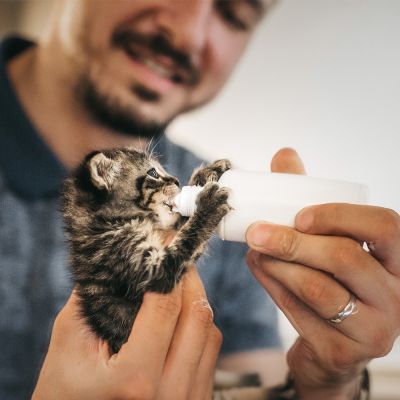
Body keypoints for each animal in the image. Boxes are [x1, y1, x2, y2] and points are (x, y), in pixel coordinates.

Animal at [62, 148, 231, 354]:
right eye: (153, 173)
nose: (176, 180)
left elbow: (181, 221)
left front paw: (207, 174)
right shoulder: (133, 259)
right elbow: (186, 242)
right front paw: (209, 206)